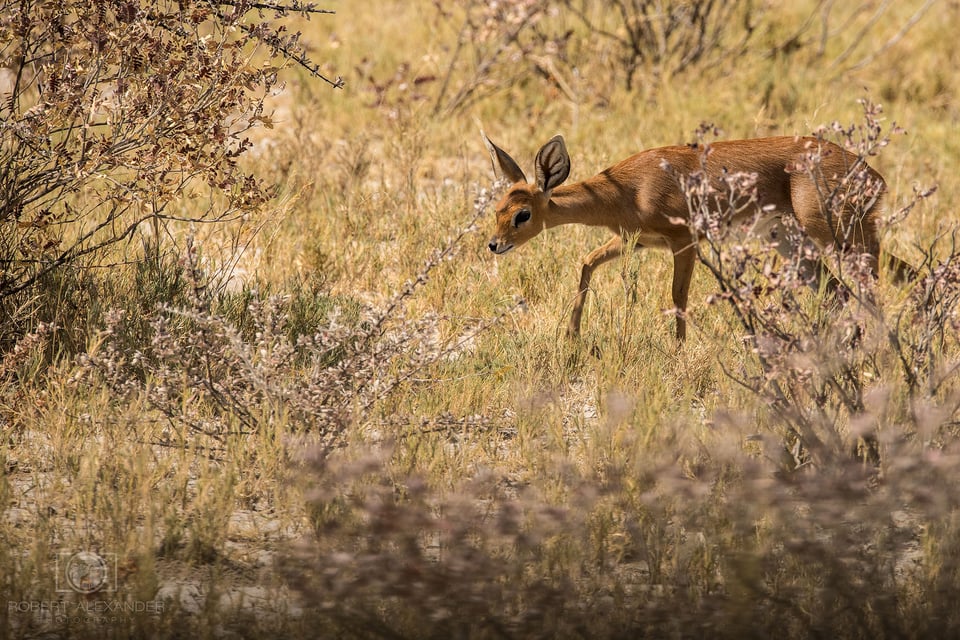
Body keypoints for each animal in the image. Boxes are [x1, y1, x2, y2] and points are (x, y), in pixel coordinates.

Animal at [484, 133, 912, 342]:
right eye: (497, 208)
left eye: (522, 214)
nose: (494, 245)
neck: (627, 190)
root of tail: (871, 175)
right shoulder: (634, 240)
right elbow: (587, 262)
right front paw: (572, 336)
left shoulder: (684, 239)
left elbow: (678, 295)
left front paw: (679, 349)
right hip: (796, 243)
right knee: (848, 290)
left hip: (836, 236)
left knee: (872, 285)